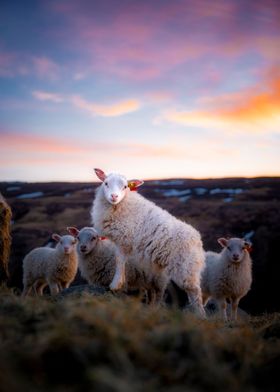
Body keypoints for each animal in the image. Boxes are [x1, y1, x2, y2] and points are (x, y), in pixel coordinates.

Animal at [91, 168, 206, 316]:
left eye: (125, 186)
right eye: (105, 183)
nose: (114, 196)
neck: (122, 205)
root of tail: (197, 239)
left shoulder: (124, 240)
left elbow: (119, 261)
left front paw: (115, 284)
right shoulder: (121, 241)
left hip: (186, 268)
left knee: (195, 292)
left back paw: (200, 316)